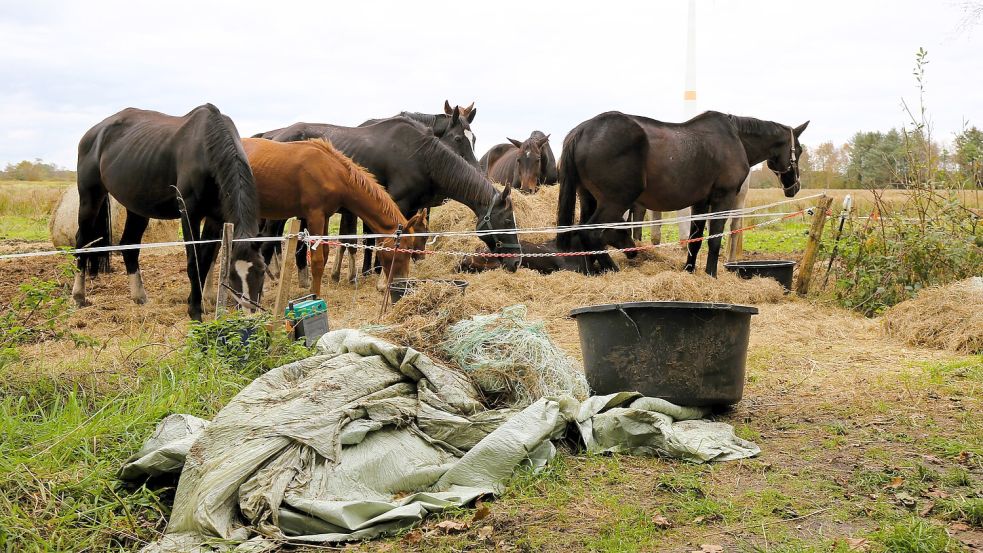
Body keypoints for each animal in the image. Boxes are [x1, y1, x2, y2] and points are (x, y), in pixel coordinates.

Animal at [72, 104, 270, 320]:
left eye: (262, 271)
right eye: (233, 275)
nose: (251, 314)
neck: (207, 149)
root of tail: (94, 133)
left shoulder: (216, 219)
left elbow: (205, 260)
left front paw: (196, 302)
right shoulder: (189, 214)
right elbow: (194, 262)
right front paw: (195, 311)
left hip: (136, 207)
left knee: (129, 245)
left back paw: (139, 296)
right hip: (90, 197)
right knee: (82, 241)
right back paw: (79, 296)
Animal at [242, 137, 426, 296]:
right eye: (403, 249)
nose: (401, 284)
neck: (332, 171)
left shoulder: (325, 217)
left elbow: (324, 254)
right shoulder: (315, 216)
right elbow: (317, 260)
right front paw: (315, 296)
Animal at [556, 111, 812, 274]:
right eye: (798, 150)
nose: (795, 187)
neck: (735, 138)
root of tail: (582, 130)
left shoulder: (701, 202)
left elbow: (695, 240)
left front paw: (689, 270)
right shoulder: (723, 199)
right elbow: (714, 240)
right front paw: (710, 274)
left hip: (588, 198)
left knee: (581, 231)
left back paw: (592, 270)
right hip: (615, 202)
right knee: (591, 232)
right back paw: (611, 268)